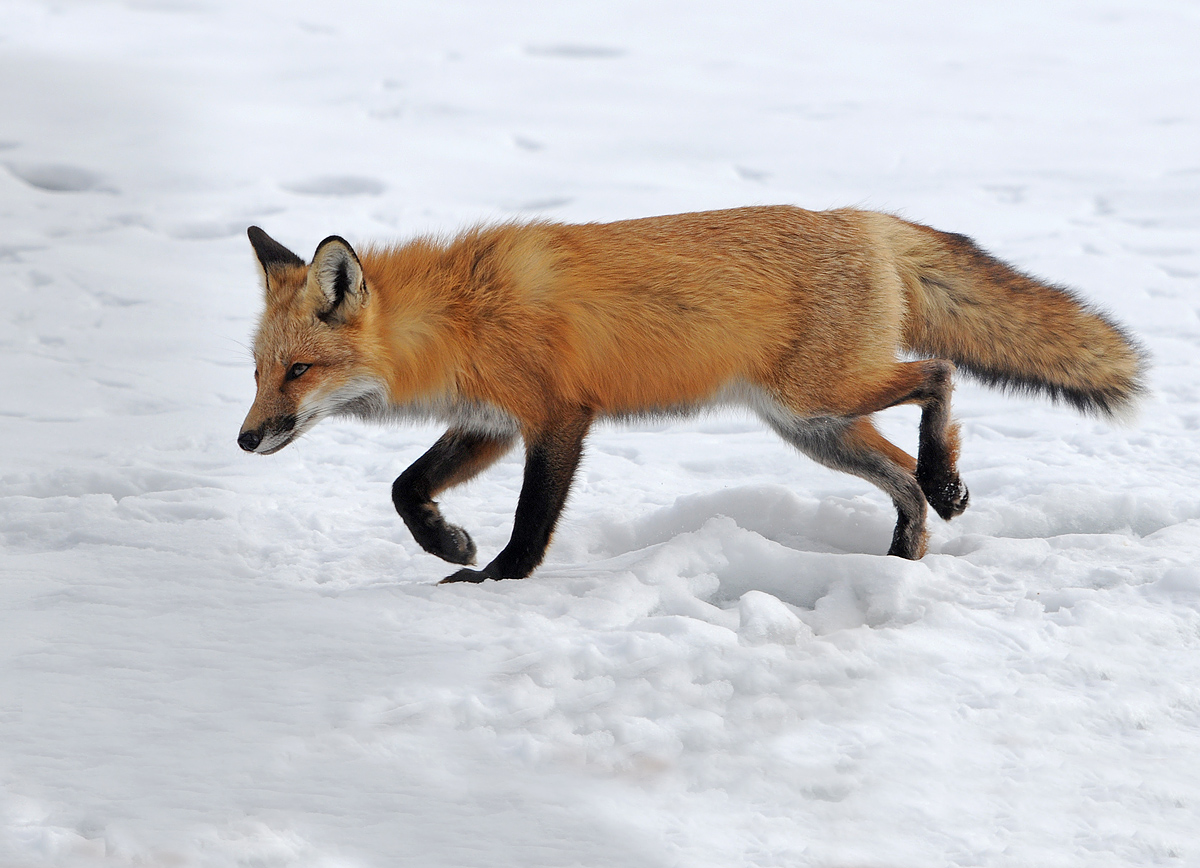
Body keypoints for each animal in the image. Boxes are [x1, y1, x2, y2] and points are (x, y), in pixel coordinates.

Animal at [238, 206, 1146, 583]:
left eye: (298, 372)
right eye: (256, 372)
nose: (245, 440)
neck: (458, 317)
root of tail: (859, 216)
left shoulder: (558, 417)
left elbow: (533, 517)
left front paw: (498, 577)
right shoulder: (490, 423)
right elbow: (405, 488)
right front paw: (450, 542)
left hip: (819, 394)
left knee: (939, 378)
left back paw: (948, 480)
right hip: (815, 425)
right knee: (900, 479)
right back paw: (902, 559)